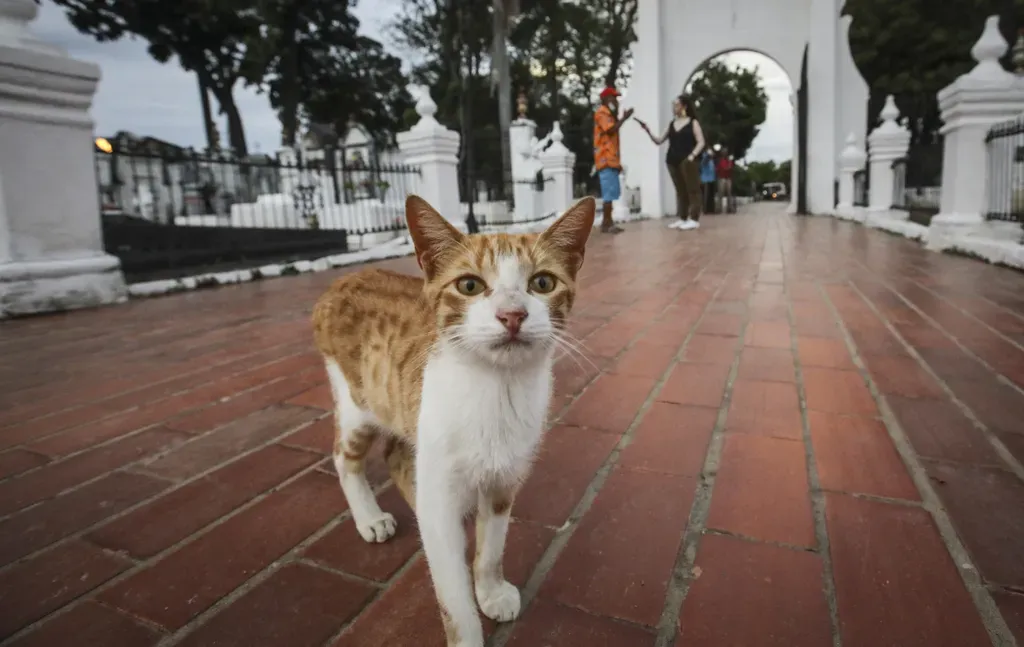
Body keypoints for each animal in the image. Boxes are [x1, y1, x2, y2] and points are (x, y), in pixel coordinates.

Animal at [315, 194, 598, 642]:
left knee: (397, 455)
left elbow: (492, 548)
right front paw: (467, 627)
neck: (496, 391)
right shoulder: (441, 488)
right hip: (359, 402)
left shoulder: (504, 479)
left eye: (542, 283)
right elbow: (454, 600)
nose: (512, 314)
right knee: (345, 457)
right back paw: (371, 518)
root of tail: (347, 278)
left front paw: (491, 591)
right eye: (469, 285)